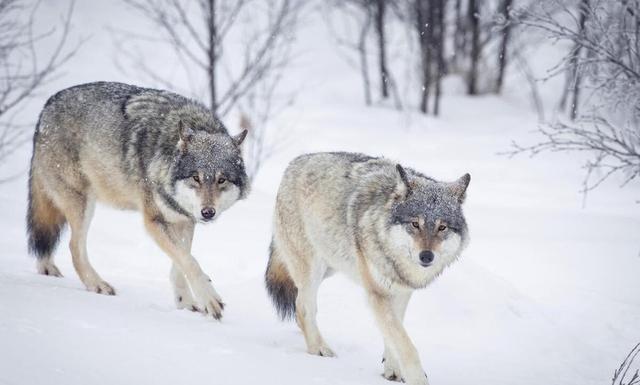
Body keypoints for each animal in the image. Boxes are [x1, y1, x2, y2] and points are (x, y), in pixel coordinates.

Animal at [264, 152, 470, 384]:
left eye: (442, 227)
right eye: (415, 224)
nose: (426, 256)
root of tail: (296, 161)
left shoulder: (400, 292)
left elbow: (394, 334)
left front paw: (392, 369)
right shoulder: (377, 294)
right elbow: (405, 344)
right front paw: (417, 379)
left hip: (331, 265)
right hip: (312, 268)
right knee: (303, 306)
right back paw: (319, 349)